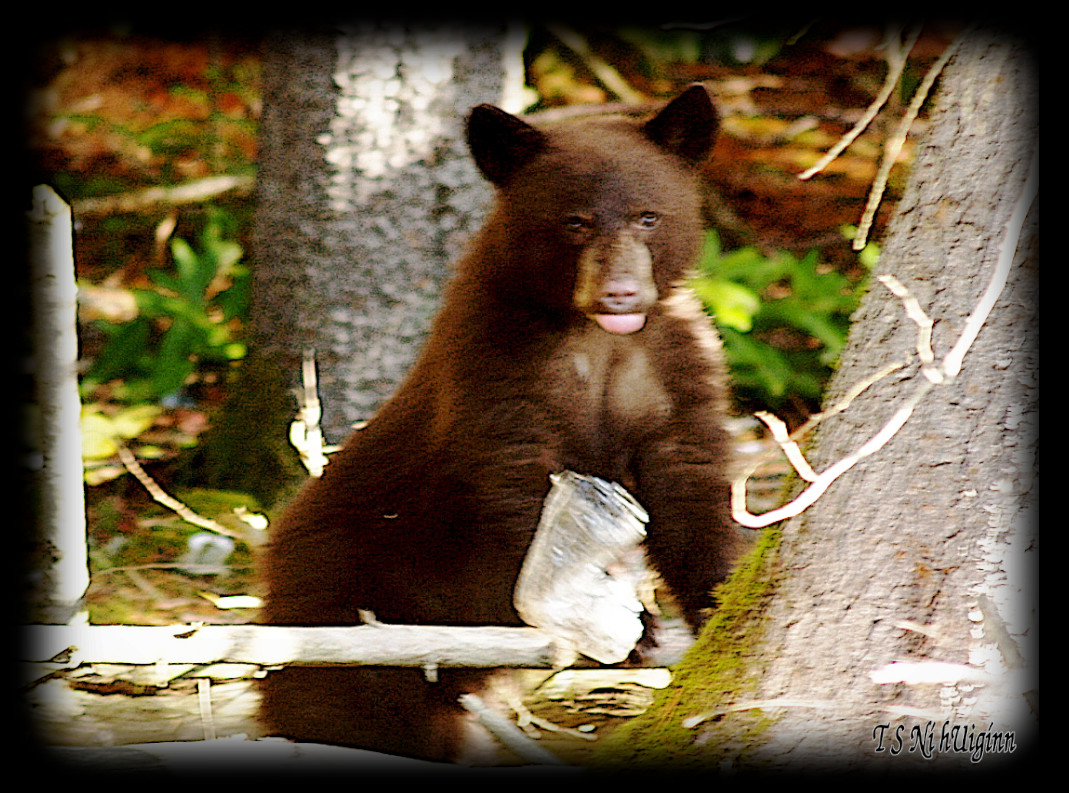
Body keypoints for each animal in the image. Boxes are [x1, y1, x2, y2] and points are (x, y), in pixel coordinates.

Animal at [259, 84, 741, 763]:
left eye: (649, 216)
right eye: (575, 221)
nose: (620, 293)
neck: (596, 339)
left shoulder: (676, 369)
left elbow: (691, 484)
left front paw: (722, 599)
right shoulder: (496, 363)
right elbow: (520, 488)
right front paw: (630, 624)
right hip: (341, 599)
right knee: (333, 704)